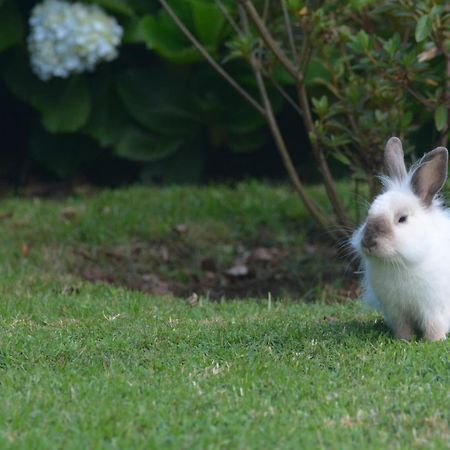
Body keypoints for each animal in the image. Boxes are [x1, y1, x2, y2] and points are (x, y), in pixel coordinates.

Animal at [352, 137, 450, 342]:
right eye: (369, 214)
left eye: (402, 219)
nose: (368, 241)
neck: (400, 263)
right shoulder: (396, 311)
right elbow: (403, 328)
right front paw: (403, 340)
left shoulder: (434, 308)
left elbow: (434, 326)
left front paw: (434, 341)